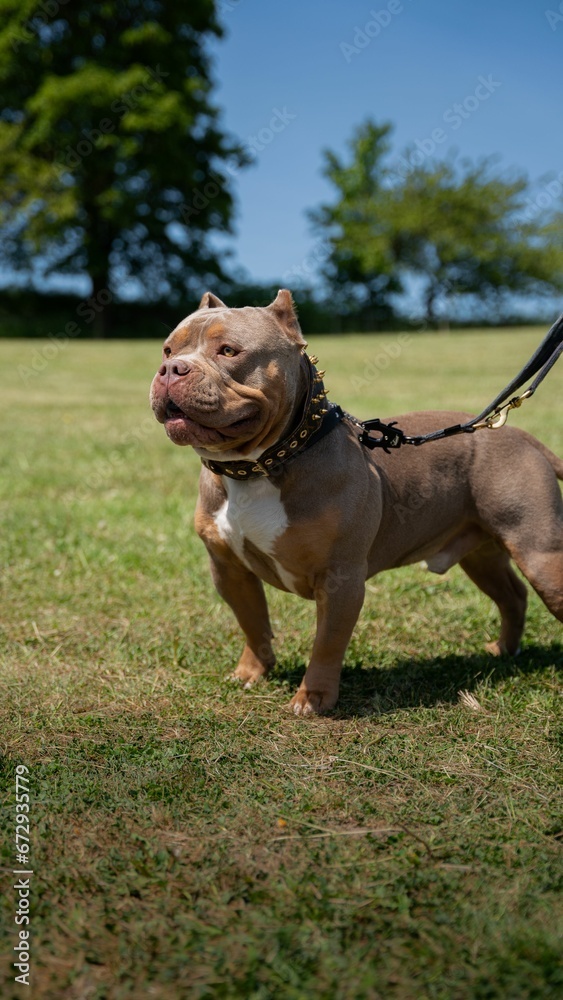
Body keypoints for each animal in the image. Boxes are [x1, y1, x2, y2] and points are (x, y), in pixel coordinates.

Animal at [150, 286, 563, 716]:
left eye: (229, 351)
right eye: (167, 350)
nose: (172, 369)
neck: (258, 467)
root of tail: (523, 436)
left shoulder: (341, 578)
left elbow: (327, 643)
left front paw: (313, 698)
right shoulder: (229, 570)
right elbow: (253, 623)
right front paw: (252, 672)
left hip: (540, 554)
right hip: (481, 555)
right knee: (512, 596)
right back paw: (503, 651)